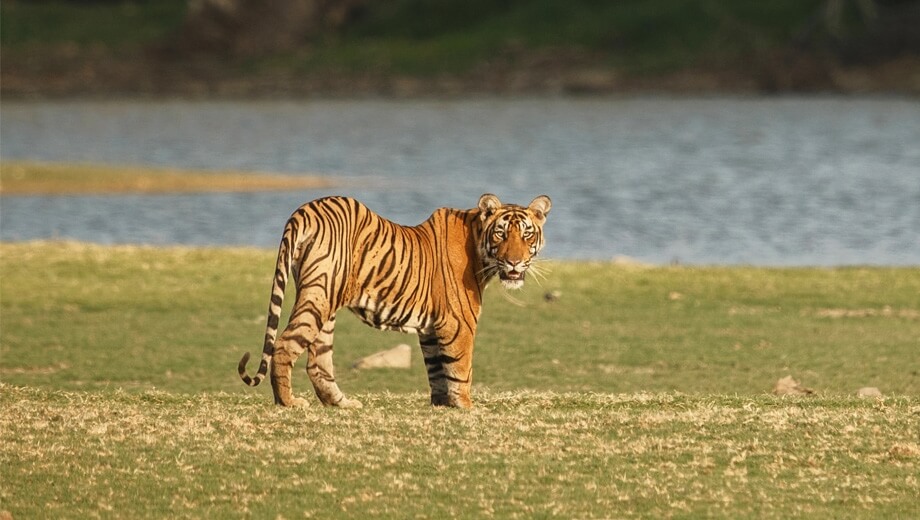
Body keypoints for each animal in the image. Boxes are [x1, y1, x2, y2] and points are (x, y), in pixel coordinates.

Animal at [241, 193, 548, 408]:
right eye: (501, 233)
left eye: (526, 234)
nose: (514, 262)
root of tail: (304, 210)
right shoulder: (459, 323)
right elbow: (460, 371)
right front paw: (466, 408)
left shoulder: (431, 329)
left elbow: (438, 372)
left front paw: (442, 406)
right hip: (320, 294)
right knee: (284, 344)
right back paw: (288, 402)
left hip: (325, 302)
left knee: (318, 361)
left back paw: (342, 403)